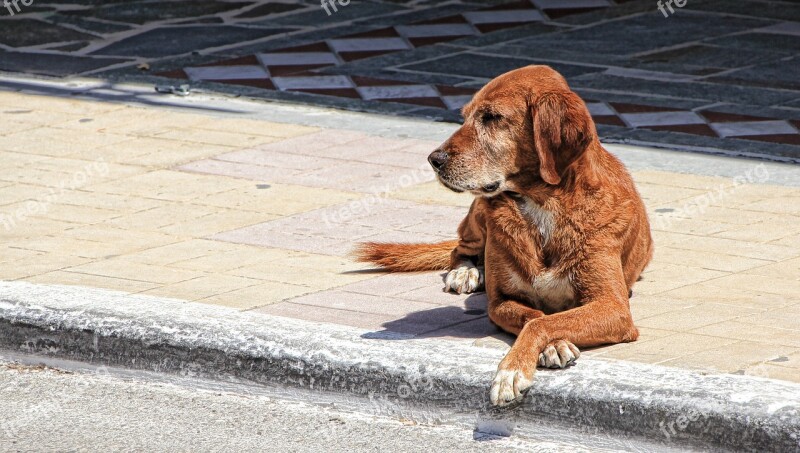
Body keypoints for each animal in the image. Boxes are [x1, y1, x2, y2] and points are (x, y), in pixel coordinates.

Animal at [354, 64, 648, 406]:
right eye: (465, 116)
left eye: (492, 117)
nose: (434, 160)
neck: (543, 204)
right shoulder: (501, 301)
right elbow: (534, 317)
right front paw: (548, 348)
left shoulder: (612, 306)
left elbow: (541, 321)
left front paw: (514, 369)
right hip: (479, 211)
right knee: (459, 248)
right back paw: (466, 272)